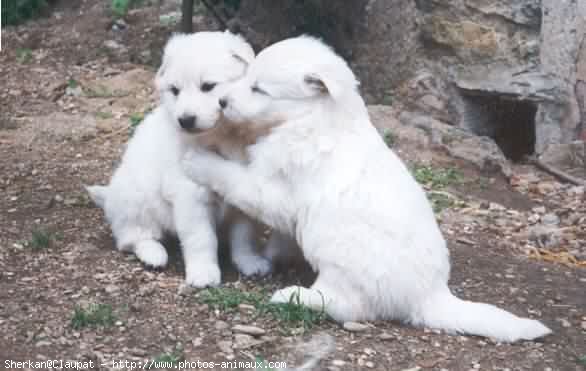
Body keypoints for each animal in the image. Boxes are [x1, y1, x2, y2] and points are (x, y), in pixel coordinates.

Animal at [85, 32, 272, 288]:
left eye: (208, 86)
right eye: (175, 90)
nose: (185, 120)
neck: (223, 136)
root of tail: (109, 196)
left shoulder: (240, 196)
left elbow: (244, 236)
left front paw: (250, 262)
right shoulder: (190, 196)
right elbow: (201, 238)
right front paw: (204, 274)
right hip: (134, 200)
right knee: (131, 237)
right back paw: (154, 254)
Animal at [184, 36, 552, 342]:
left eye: (259, 89)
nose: (222, 101)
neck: (313, 118)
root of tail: (431, 296)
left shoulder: (270, 189)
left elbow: (232, 177)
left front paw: (197, 160)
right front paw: (274, 252)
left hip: (336, 253)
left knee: (345, 305)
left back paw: (295, 296)